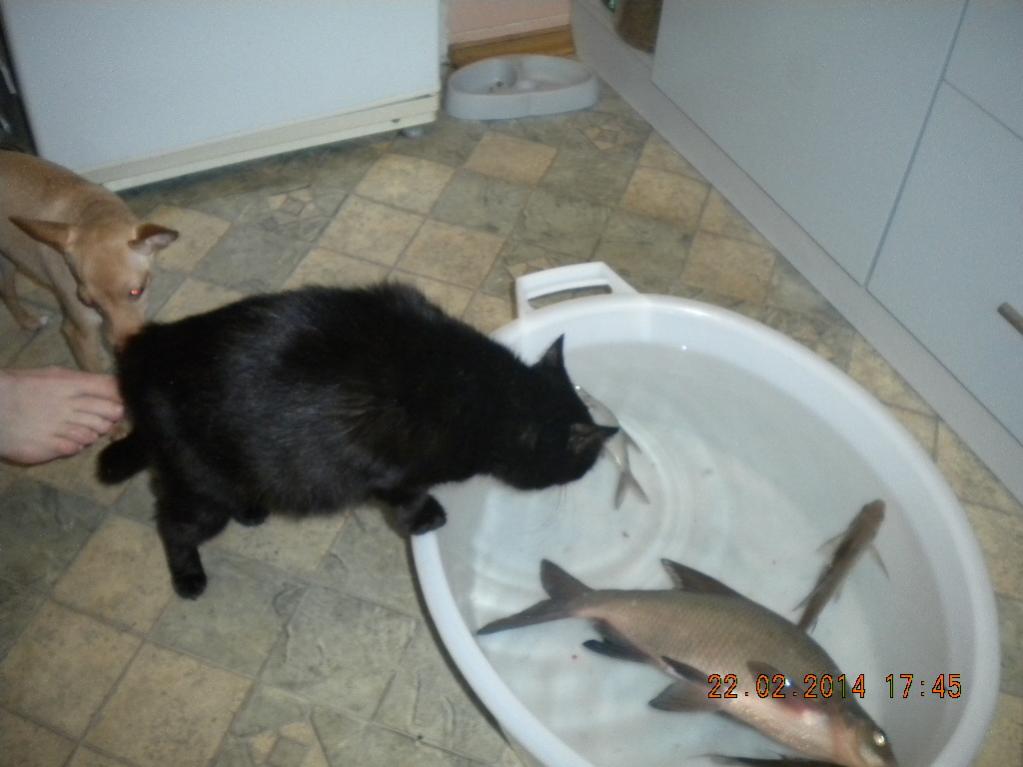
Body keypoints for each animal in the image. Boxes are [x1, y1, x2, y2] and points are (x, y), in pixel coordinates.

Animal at [0, 150, 178, 371]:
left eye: (137, 292)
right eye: (88, 302)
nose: (121, 353)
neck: (94, 212)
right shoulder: (79, 333)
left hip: (8, 261)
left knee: (6, 291)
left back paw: (28, 322)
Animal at [97, 282, 614, 599]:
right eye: (585, 462)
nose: (588, 476)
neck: (493, 396)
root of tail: (146, 355)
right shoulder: (390, 467)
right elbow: (408, 498)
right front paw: (428, 519)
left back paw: (251, 511)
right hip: (202, 487)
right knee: (173, 525)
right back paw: (188, 576)